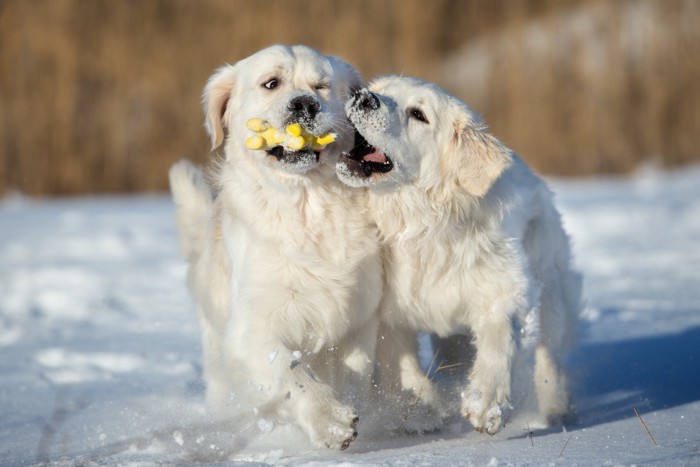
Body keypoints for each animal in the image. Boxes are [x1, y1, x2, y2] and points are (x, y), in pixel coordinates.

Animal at [170, 45, 382, 452]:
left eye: (321, 86)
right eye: (271, 83)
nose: (304, 104)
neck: (306, 204)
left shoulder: (359, 316)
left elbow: (355, 371)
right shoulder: (250, 327)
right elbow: (289, 371)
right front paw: (329, 419)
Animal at [336, 76, 584, 436]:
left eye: (419, 114)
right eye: (380, 88)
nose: (362, 96)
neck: (422, 225)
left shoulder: (504, 286)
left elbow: (498, 338)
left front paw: (485, 401)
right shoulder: (389, 309)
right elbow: (400, 359)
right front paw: (422, 407)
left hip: (549, 285)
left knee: (549, 354)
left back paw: (553, 408)